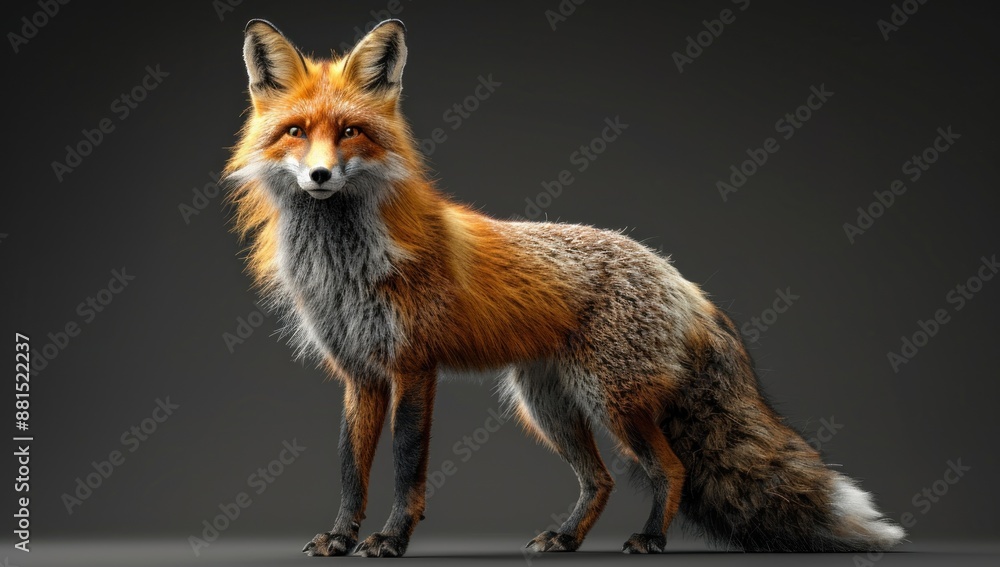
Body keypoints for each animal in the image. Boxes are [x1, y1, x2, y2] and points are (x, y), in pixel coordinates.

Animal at [224, 18, 906, 558]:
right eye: (295, 132)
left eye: (349, 133)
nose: (319, 175)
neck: (346, 265)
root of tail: (675, 274)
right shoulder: (360, 373)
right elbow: (350, 468)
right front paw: (341, 537)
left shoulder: (414, 366)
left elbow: (406, 467)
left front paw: (390, 540)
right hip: (547, 405)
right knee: (600, 480)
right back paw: (568, 538)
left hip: (611, 400)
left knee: (671, 467)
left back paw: (651, 539)